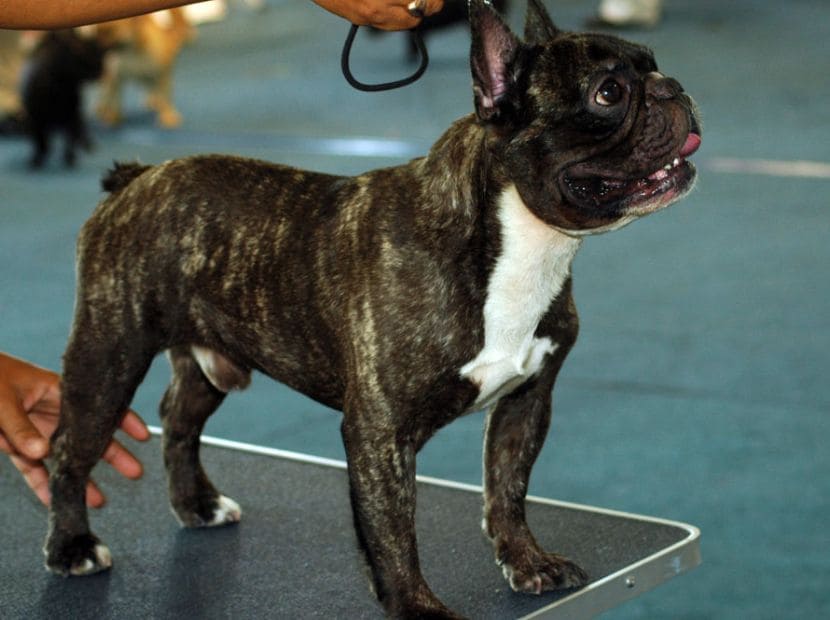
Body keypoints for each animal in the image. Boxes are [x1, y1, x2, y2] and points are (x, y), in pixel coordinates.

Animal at [21, 29, 104, 167]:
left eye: (101, 59)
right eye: (93, 59)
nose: (102, 71)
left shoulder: (72, 115)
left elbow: (70, 140)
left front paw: (70, 157)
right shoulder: (36, 118)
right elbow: (41, 141)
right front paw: (37, 159)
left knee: (80, 130)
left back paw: (86, 144)